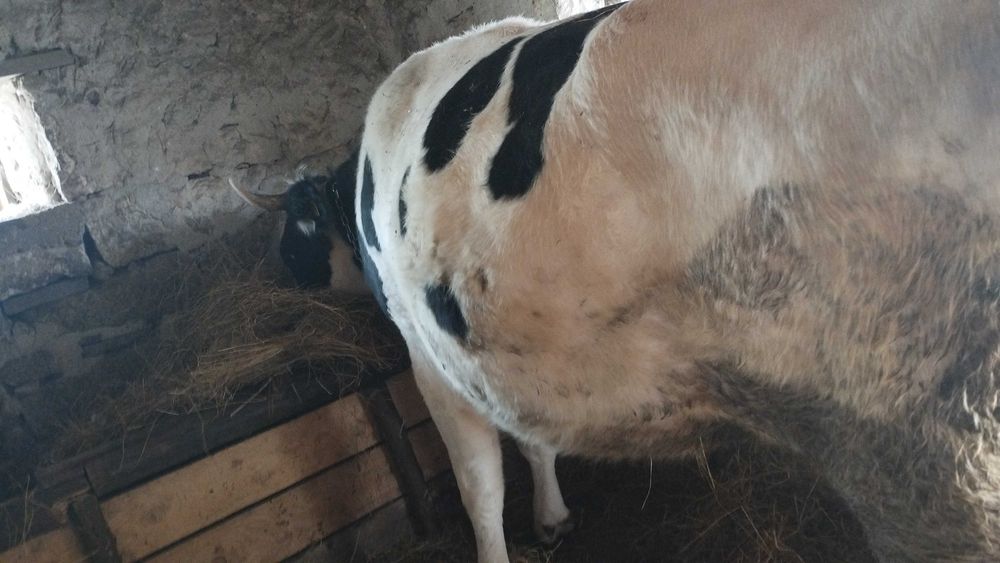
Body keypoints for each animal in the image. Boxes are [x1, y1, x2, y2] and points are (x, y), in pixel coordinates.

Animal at [235, 1, 1000, 561]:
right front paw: (552, 517)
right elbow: (535, 440)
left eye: (295, 228)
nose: (280, 274)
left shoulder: (431, 354)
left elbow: (480, 486)